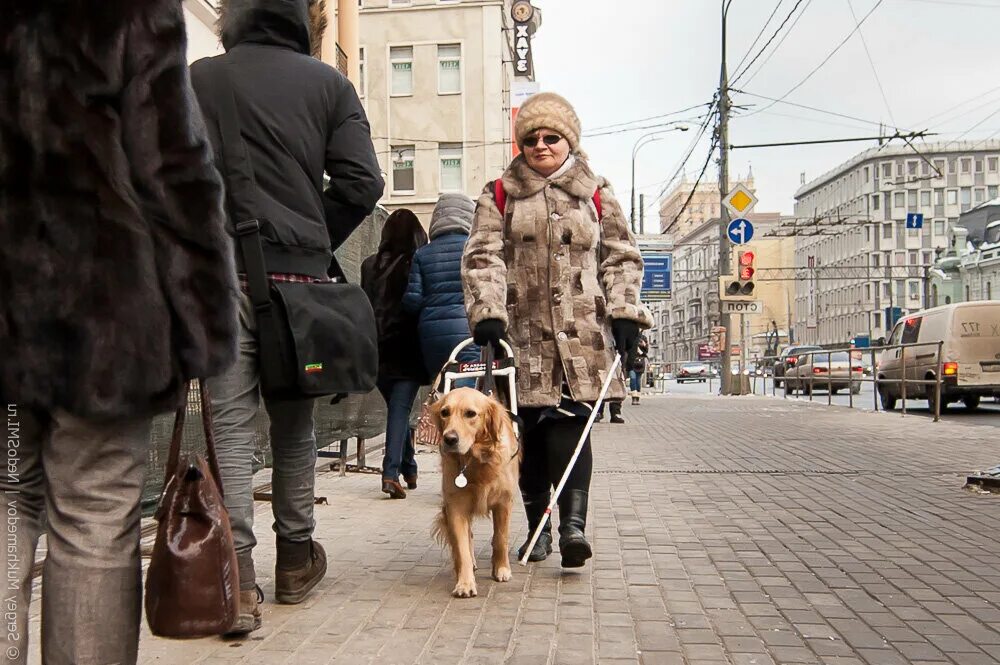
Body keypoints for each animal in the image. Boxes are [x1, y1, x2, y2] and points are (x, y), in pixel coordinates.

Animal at [432, 384, 520, 596]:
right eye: (445, 412)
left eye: (470, 414)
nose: (449, 439)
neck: (475, 459)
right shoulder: (456, 505)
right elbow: (462, 547)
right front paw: (465, 583)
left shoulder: (504, 502)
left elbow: (500, 538)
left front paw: (501, 569)